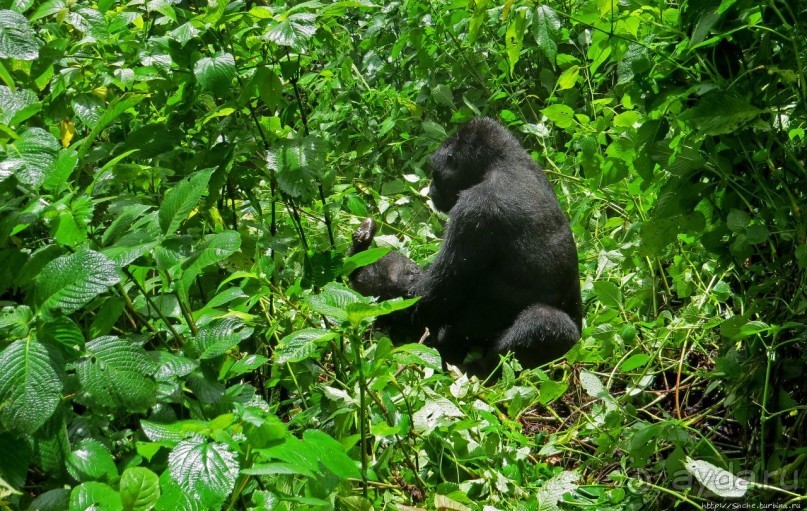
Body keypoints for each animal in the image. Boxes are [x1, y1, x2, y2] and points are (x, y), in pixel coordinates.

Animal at [348, 119, 580, 376]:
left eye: (435, 171)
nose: (430, 188)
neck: (501, 163)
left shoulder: (474, 210)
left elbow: (428, 300)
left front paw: (364, 269)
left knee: (545, 321)